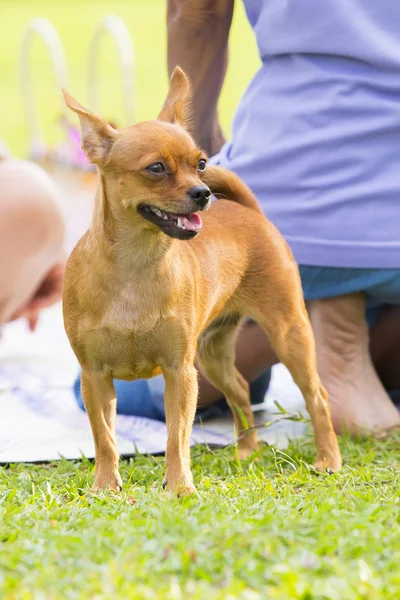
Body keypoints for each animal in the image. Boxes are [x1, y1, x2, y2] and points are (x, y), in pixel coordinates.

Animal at [62, 68, 340, 494]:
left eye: (202, 163)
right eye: (156, 168)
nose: (204, 192)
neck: (135, 266)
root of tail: (250, 212)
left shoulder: (180, 373)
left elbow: (176, 436)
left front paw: (179, 487)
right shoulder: (94, 378)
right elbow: (105, 438)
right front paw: (106, 487)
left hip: (288, 334)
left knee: (318, 395)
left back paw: (328, 460)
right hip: (213, 355)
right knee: (241, 389)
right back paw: (246, 452)